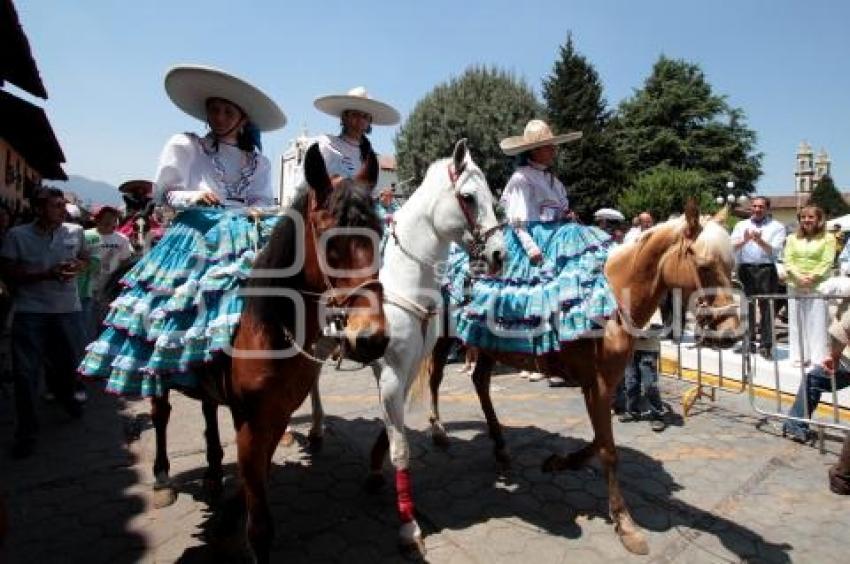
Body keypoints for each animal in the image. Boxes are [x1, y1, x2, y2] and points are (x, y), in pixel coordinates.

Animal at [147, 147, 386, 564]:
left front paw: (227, 514)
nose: (371, 339)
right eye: (329, 241)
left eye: (381, 233)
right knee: (161, 413)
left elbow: (253, 481)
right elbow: (259, 525)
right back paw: (162, 478)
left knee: (207, 408)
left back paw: (213, 471)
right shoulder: (251, 421)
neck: (270, 325)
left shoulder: (276, 415)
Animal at [304, 139, 504, 552]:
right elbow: (401, 447)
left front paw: (374, 467)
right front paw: (409, 525)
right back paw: (312, 431)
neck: (406, 283)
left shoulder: (406, 367)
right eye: (468, 197)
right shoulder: (392, 370)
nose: (498, 254)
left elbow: (392, 427)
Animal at [420, 204, 744, 556]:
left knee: (480, 382)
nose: (731, 334)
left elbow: (600, 442)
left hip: (486, 344)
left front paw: (559, 462)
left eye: (731, 265)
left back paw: (501, 450)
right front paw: (625, 524)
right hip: (443, 335)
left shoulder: (603, 385)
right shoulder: (598, 386)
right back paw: (439, 431)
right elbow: (609, 451)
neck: (613, 300)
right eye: (704, 265)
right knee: (436, 376)